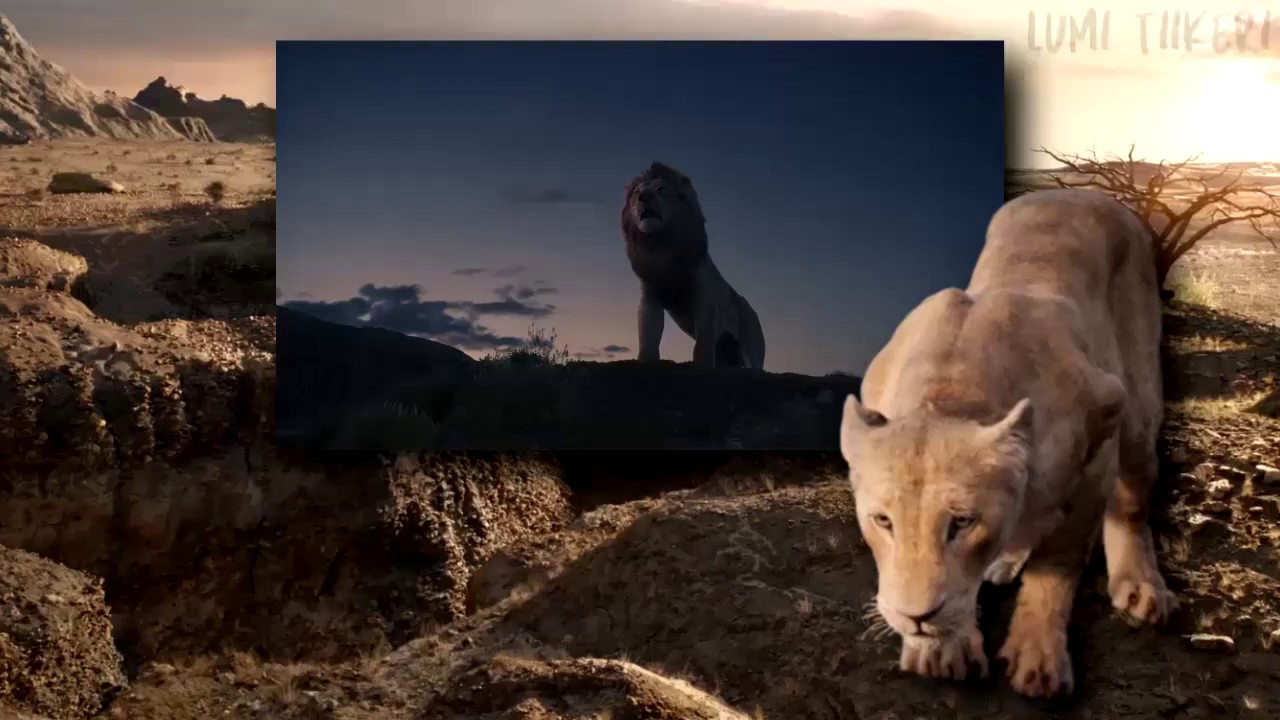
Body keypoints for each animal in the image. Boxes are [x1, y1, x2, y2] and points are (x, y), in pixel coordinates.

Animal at [621, 161, 765, 370]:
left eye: (661, 189)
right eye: (637, 192)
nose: (644, 197)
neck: (662, 246)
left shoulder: (705, 301)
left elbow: (702, 346)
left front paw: (701, 366)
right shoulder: (650, 301)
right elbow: (648, 341)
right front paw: (646, 362)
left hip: (751, 348)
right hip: (726, 352)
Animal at [839, 188, 1175, 699]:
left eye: (962, 523)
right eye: (883, 522)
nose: (916, 618)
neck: (949, 393)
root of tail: (1085, 192)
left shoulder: (1098, 433)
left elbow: (1057, 565)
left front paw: (1037, 658)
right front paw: (941, 650)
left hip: (1138, 404)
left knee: (1134, 498)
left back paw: (1141, 587)